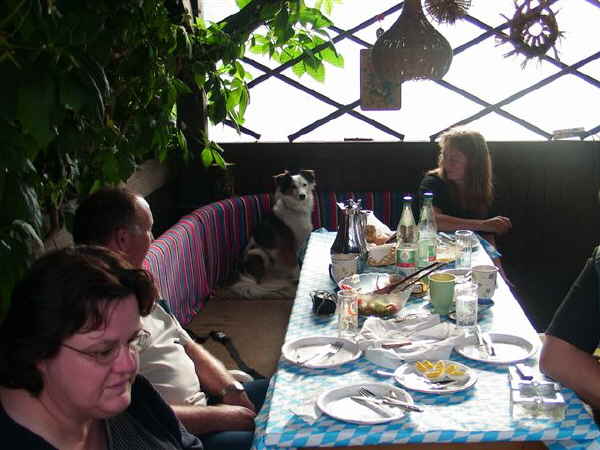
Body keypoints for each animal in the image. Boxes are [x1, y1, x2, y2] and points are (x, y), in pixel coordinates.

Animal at [229, 169, 316, 299]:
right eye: (293, 186)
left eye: (304, 185)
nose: (302, 196)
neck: (296, 209)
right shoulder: (288, 247)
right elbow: (295, 265)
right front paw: (298, 279)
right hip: (258, 252)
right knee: (260, 281)